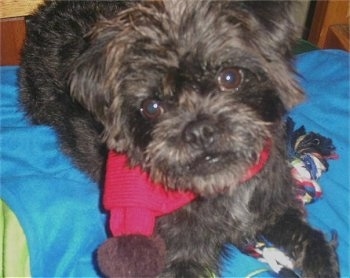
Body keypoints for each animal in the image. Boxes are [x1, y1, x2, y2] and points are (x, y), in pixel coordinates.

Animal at [19, 0, 340, 278]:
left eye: (230, 77)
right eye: (152, 107)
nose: (199, 129)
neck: (223, 185)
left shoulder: (275, 206)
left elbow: (309, 236)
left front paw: (323, 265)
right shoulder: (181, 253)